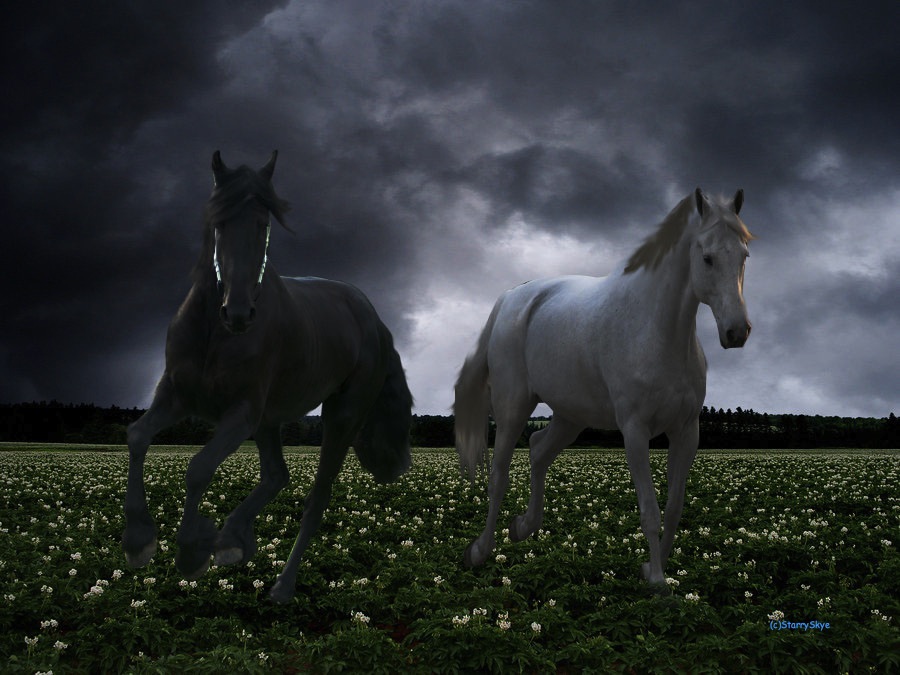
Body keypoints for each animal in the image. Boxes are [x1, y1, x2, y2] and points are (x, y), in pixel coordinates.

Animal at [122, 151, 412, 604]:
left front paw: (191, 552)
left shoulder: (241, 412)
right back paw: (233, 540)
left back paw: (280, 585)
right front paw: (139, 541)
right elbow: (137, 436)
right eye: (219, 222)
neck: (213, 329)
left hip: (340, 415)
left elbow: (198, 468)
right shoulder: (176, 396)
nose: (239, 313)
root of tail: (375, 321)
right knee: (277, 475)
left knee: (316, 497)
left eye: (263, 224)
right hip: (270, 420)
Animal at [455, 188, 753, 586]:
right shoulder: (635, 431)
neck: (655, 332)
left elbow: (674, 507)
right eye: (706, 257)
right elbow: (650, 509)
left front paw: (653, 568)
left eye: (744, 256)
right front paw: (657, 582)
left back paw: (523, 527)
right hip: (513, 407)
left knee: (538, 449)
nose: (737, 332)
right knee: (499, 473)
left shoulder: (687, 431)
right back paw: (480, 550)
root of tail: (509, 300)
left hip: (571, 416)